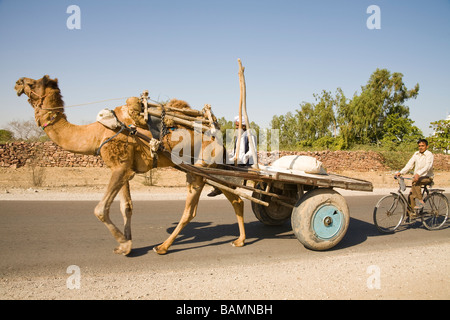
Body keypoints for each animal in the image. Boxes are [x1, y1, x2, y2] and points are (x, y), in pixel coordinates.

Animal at [14, 75, 246, 255]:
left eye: (33, 82)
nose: (17, 82)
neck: (97, 132)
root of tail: (218, 136)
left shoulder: (120, 167)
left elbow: (100, 209)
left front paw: (123, 243)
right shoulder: (125, 169)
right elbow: (126, 206)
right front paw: (126, 245)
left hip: (200, 168)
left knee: (192, 211)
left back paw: (163, 247)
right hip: (208, 170)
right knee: (235, 198)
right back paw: (239, 240)